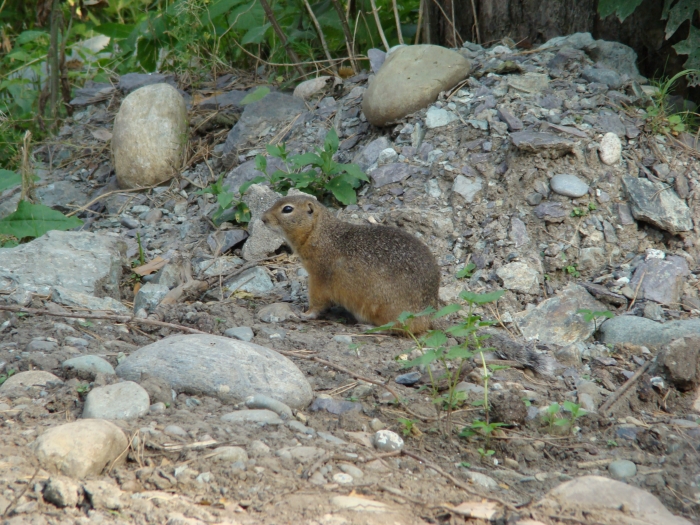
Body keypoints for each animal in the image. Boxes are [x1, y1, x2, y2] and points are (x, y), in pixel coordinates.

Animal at [261, 195, 440, 334]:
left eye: (287, 209)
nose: (263, 218)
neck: (320, 233)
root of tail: (430, 315)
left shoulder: (319, 277)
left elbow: (317, 302)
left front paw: (304, 314)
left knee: (395, 327)